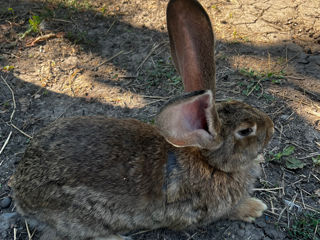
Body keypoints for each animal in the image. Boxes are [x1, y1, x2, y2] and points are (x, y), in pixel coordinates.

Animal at [11, 0, 274, 240]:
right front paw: (254, 207)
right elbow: (227, 212)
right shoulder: (198, 213)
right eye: (246, 131)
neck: (210, 164)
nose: (271, 128)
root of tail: (21, 195)